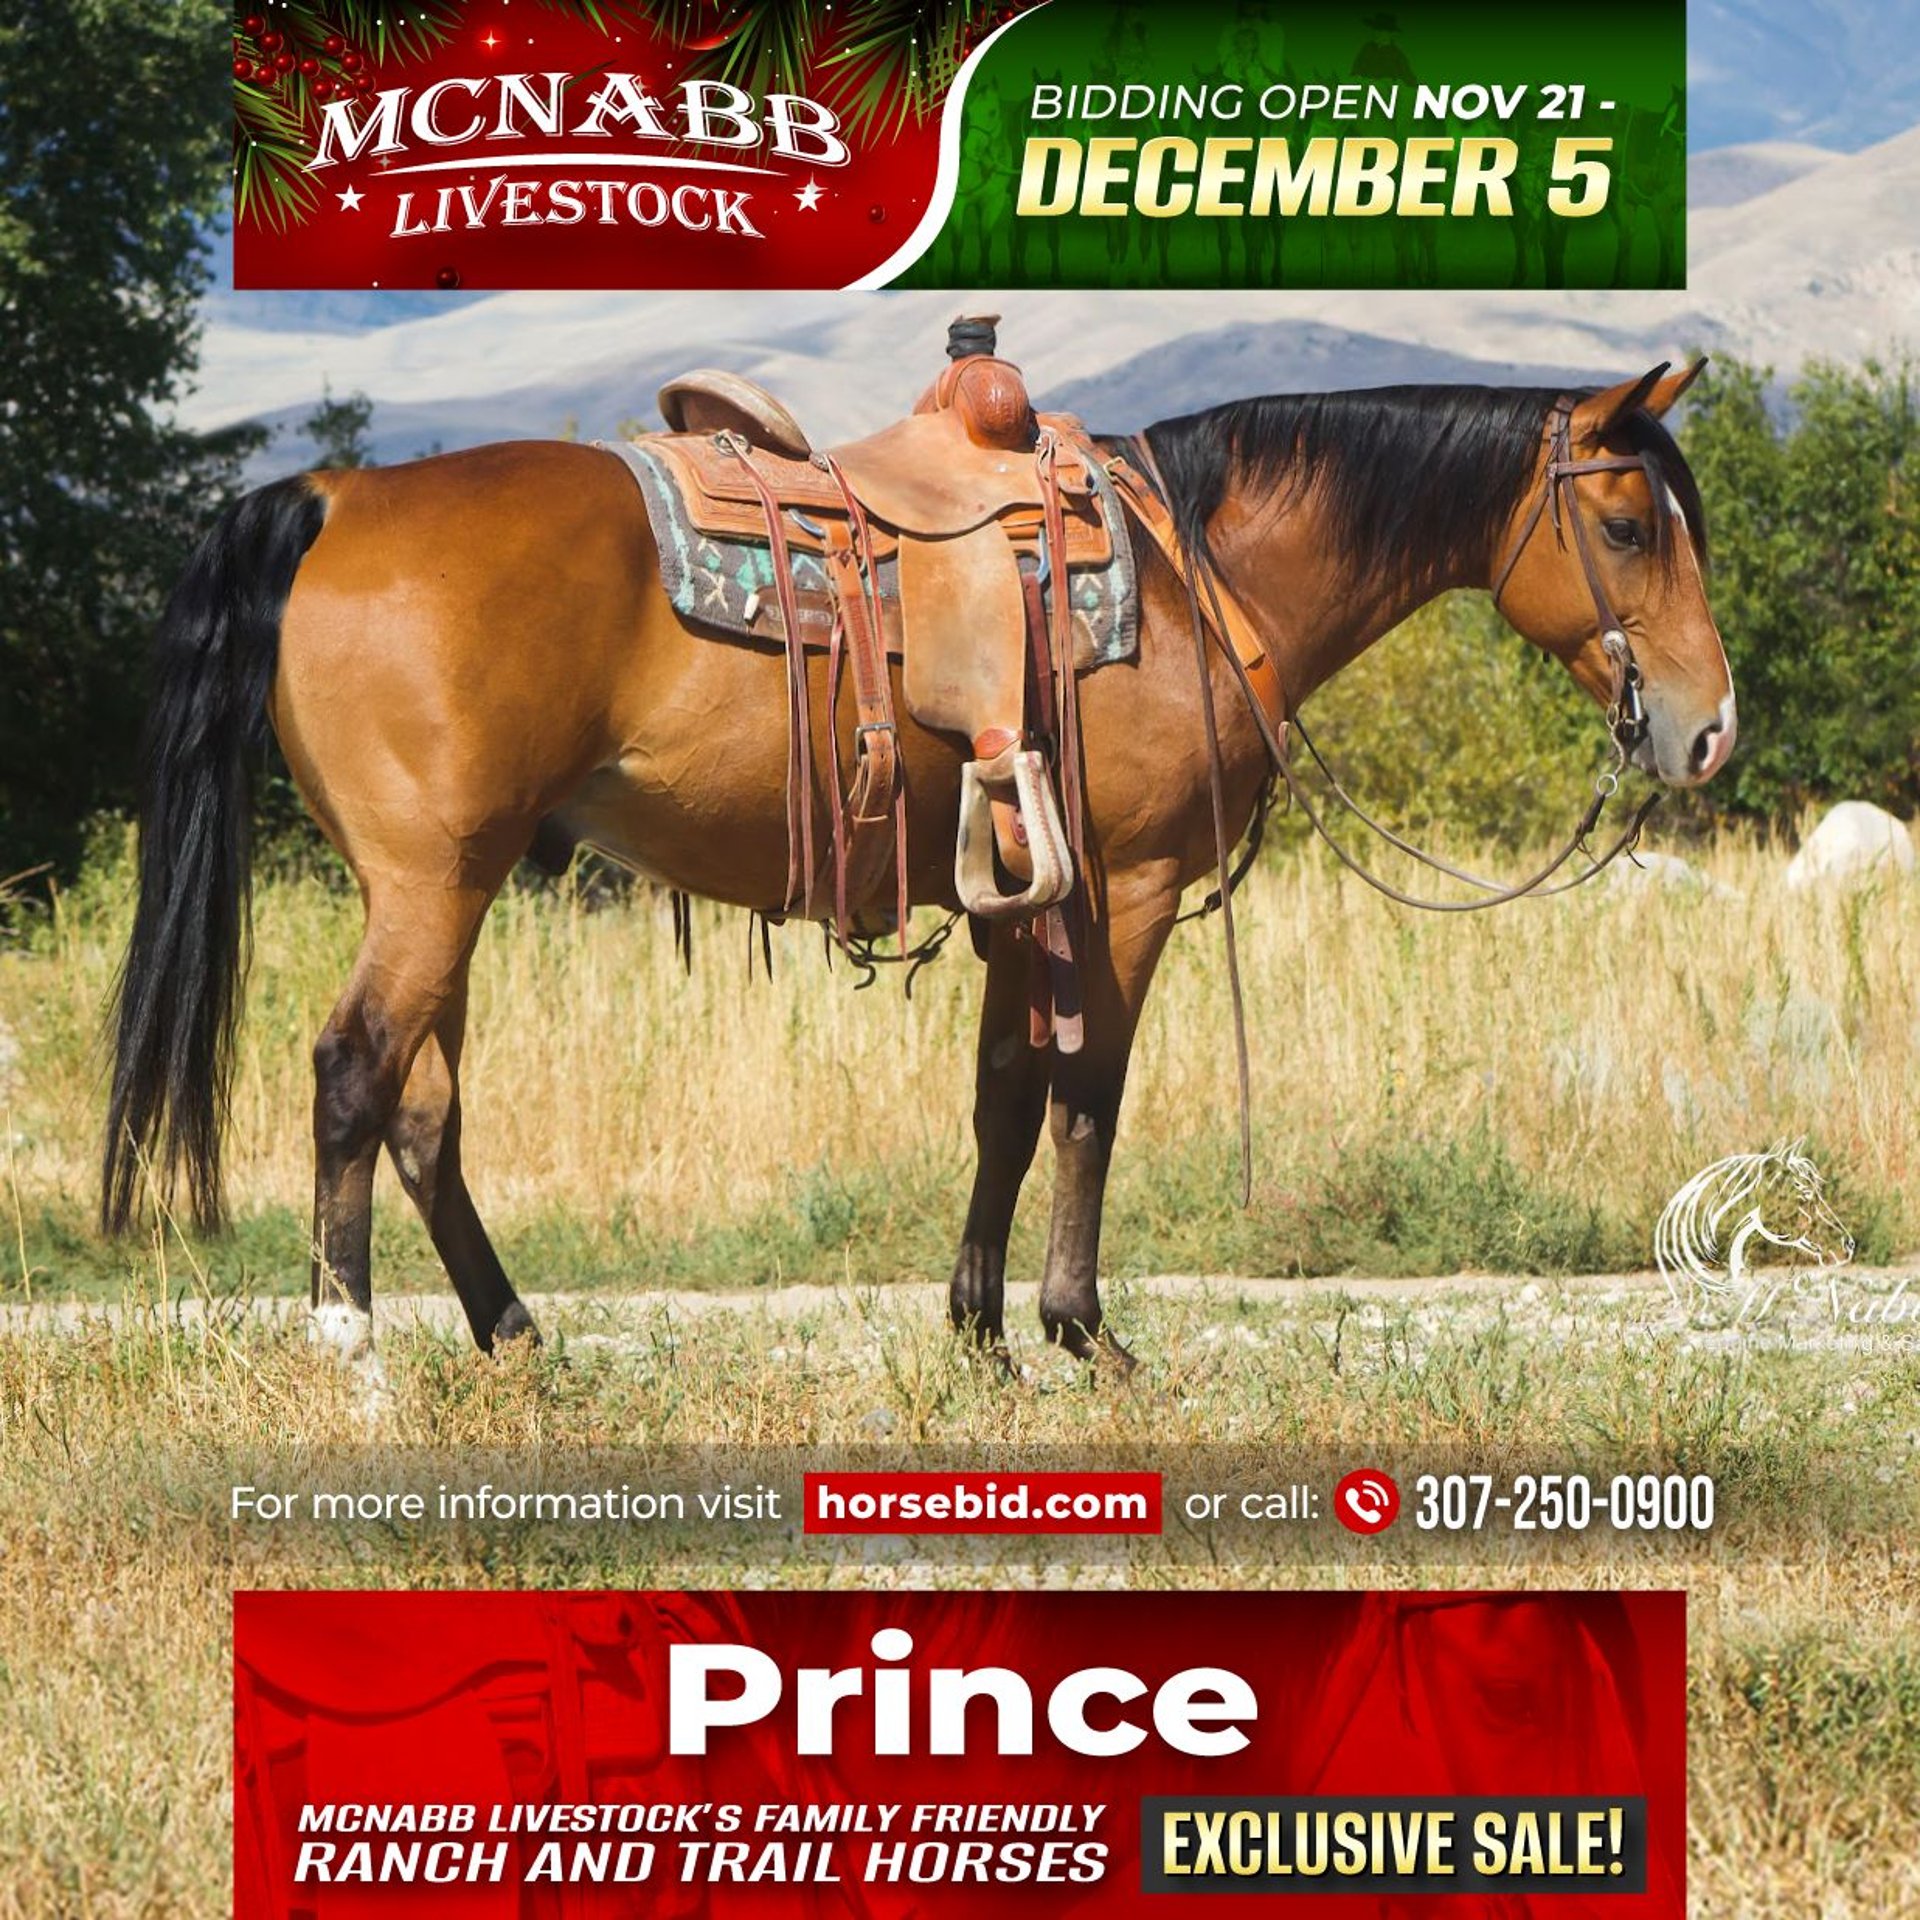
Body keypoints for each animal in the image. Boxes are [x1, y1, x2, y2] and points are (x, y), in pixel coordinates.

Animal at [101, 358, 1735, 1367]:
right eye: (1624, 523)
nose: (1709, 731)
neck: (1199, 579)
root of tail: (336, 498)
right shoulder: (1127, 891)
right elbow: (1087, 1095)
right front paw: (1083, 1328)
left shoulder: (1024, 898)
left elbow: (1003, 1099)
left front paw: (985, 1333)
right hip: (434, 883)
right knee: (354, 1076)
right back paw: (353, 1349)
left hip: (449, 885)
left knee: (425, 1111)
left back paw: (513, 1336)